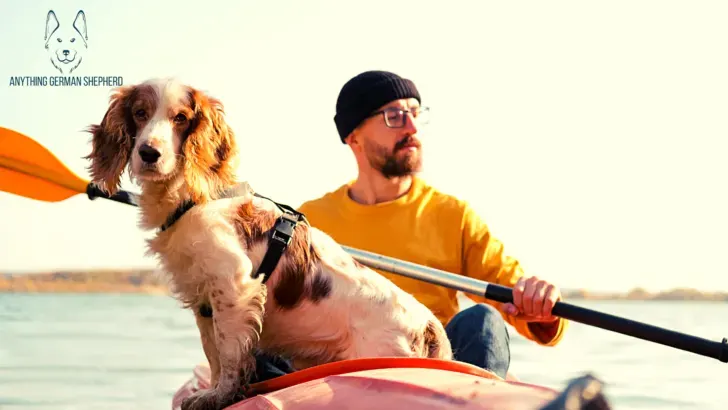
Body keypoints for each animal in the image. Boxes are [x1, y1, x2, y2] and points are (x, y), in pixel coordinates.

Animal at [84, 77, 450, 410]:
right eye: (140, 113)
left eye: (181, 118)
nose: (149, 153)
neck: (193, 196)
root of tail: (428, 326)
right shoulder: (204, 298)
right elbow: (213, 354)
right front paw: (212, 391)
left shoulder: (234, 285)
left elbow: (228, 354)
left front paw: (218, 396)